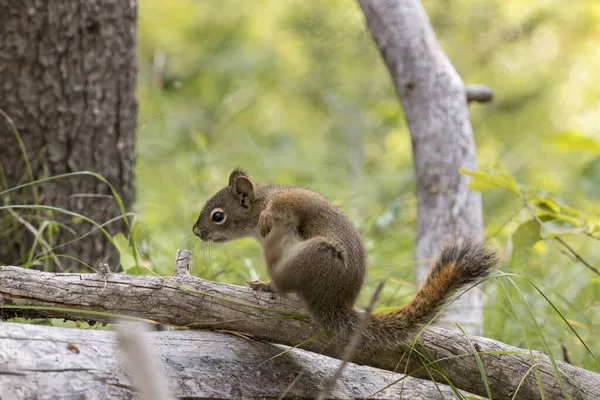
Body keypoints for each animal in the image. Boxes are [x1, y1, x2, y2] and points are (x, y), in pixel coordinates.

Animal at [195, 167, 500, 348]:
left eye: (218, 216)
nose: (196, 231)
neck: (259, 205)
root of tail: (337, 303)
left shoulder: (292, 199)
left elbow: (291, 205)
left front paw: (267, 218)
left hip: (316, 255)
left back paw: (268, 285)